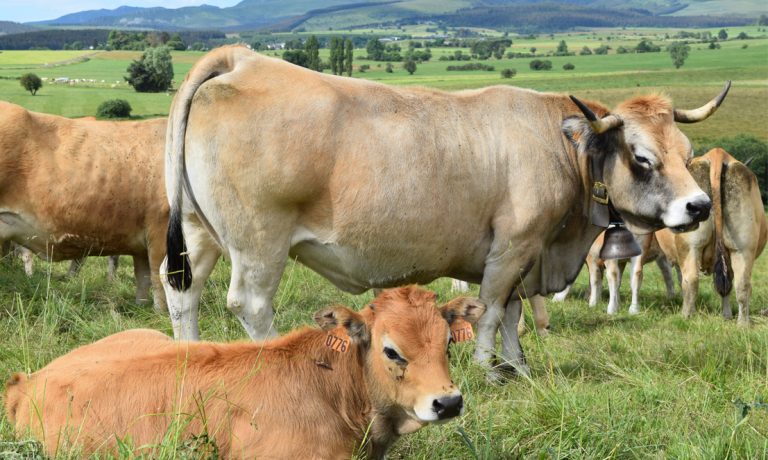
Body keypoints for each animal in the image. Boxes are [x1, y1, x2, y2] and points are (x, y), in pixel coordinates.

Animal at [0, 102, 170, 310]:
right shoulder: (161, 229)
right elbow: (160, 281)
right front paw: (161, 313)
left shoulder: (142, 242)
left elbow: (144, 278)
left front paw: (141, 309)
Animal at [160, 44, 728, 378]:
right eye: (642, 158)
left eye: (686, 151)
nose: (699, 205)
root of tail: (243, 58)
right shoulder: (513, 247)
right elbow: (492, 311)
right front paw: (487, 370)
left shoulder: (522, 256)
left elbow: (512, 316)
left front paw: (517, 370)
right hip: (260, 244)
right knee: (251, 305)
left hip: (198, 234)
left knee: (182, 293)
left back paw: (186, 362)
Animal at [656, 149, 768, 326]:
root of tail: (717, 154)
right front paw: (726, 315)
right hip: (742, 248)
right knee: (741, 284)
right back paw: (743, 324)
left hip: (690, 246)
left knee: (690, 280)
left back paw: (686, 316)